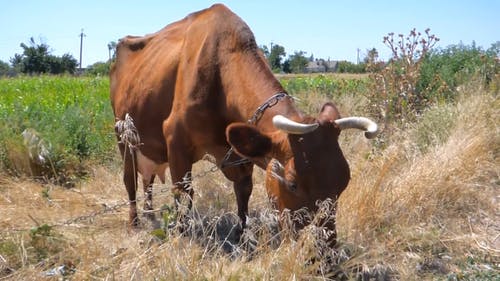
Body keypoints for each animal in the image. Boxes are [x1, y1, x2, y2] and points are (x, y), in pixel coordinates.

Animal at [108, 3, 376, 241]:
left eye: (344, 181)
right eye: (292, 184)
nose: (323, 247)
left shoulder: (240, 154)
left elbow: (243, 190)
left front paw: (241, 233)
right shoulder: (175, 140)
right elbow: (183, 193)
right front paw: (182, 235)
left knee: (148, 179)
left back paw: (149, 212)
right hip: (123, 136)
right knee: (130, 180)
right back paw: (134, 222)